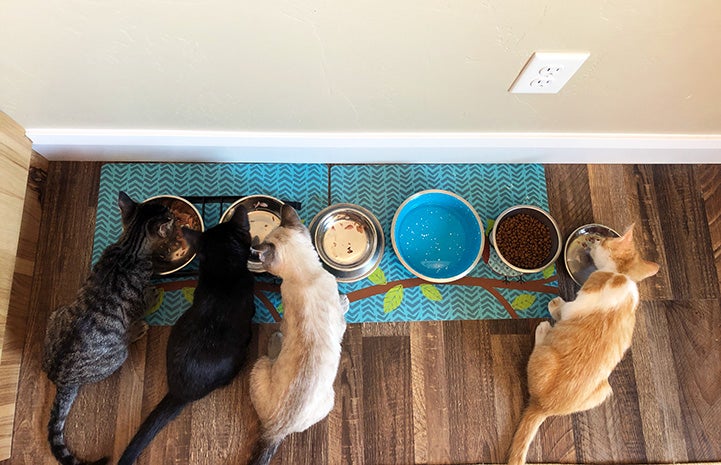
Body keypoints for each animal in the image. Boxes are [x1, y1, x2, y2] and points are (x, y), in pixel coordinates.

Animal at [41, 191, 174, 464]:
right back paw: (137, 330)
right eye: (167, 215)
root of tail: (60, 378)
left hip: (56, 314)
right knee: (126, 339)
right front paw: (154, 295)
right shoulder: (138, 300)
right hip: (118, 355)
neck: (129, 247)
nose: (173, 215)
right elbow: (146, 300)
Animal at [506, 224, 660, 464]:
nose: (595, 240)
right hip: (604, 390)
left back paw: (543, 329)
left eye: (602, 240)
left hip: (546, 355)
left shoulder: (576, 304)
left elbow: (563, 310)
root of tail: (543, 406)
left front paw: (555, 305)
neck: (621, 275)